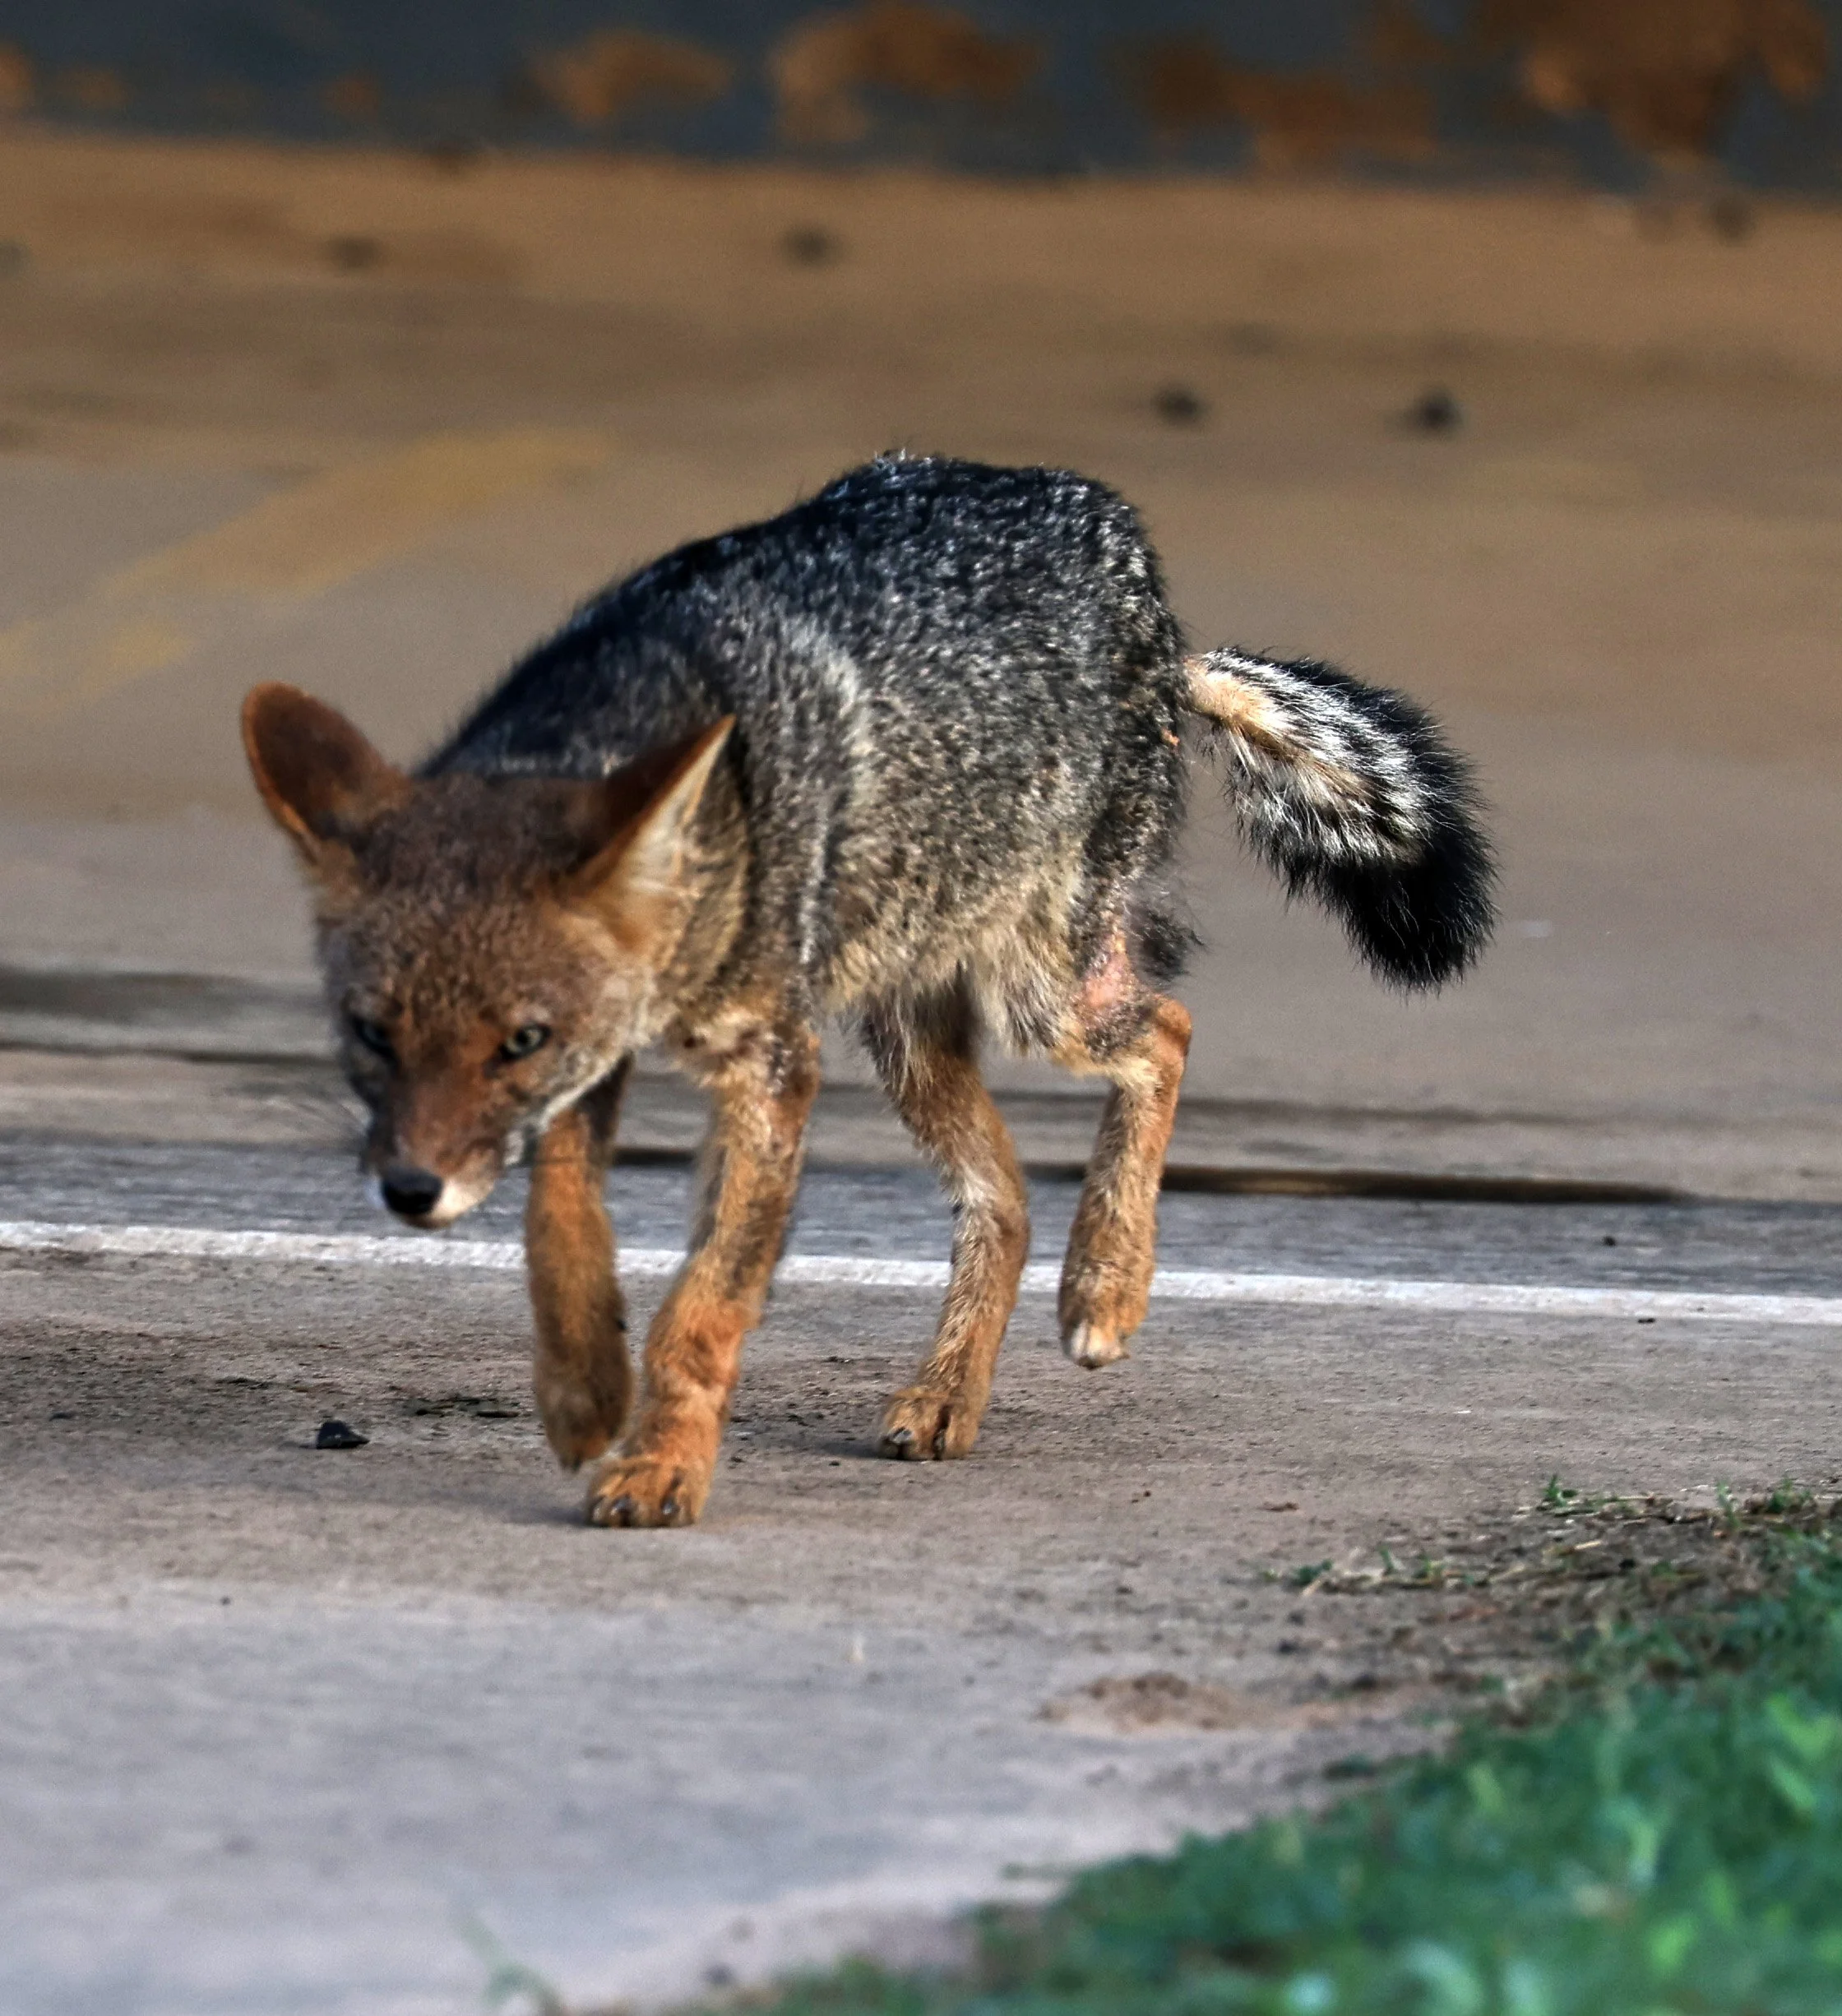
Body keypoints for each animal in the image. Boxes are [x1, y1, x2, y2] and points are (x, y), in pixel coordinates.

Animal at [242, 453, 1493, 1528]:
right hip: (906, 1030)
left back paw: (1104, 1289)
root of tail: (1151, 599)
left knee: (1168, 1031)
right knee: (1004, 1198)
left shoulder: (766, 1062)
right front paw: (585, 1388)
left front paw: (661, 1468)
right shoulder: (609, 1065)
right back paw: (947, 1394)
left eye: (520, 1039)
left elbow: (703, 1306)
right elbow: (560, 1229)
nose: (409, 1192)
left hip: (1039, 1002)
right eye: (369, 1034)